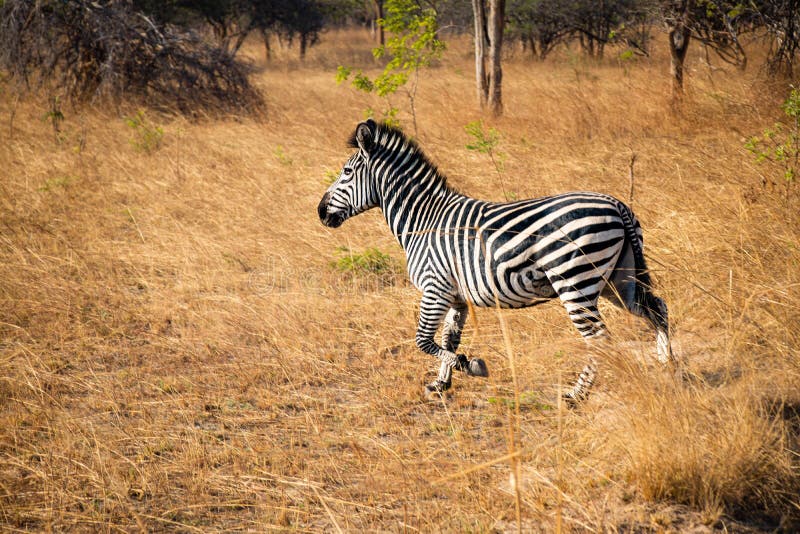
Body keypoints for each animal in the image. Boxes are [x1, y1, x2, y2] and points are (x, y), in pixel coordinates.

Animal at [318, 120, 676, 406]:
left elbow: (422, 340)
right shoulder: (455, 297)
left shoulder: (434, 289)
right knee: (657, 308)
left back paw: (577, 395)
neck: (424, 220)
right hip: (618, 281)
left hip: (576, 282)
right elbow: (447, 340)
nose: (320, 212)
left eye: (346, 172)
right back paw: (667, 365)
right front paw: (441, 383)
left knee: (600, 340)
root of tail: (616, 204)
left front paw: (472, 366)